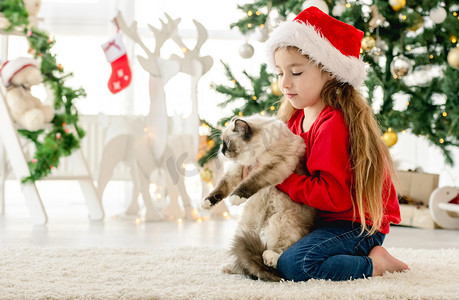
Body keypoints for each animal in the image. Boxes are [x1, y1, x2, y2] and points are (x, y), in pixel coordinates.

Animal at [201, 115, 316, 282]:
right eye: (222, 143)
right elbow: (221, 188)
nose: (221, 151)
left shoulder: (271, 167)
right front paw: (206, 203)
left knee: (281, 254)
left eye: (227, 143)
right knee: (245, 262)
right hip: (245, 229)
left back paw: (270, 258)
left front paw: (235, 198)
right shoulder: (238, 170)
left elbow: (250, 183)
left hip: (281, 220)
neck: (255, 155)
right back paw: (228, 267)